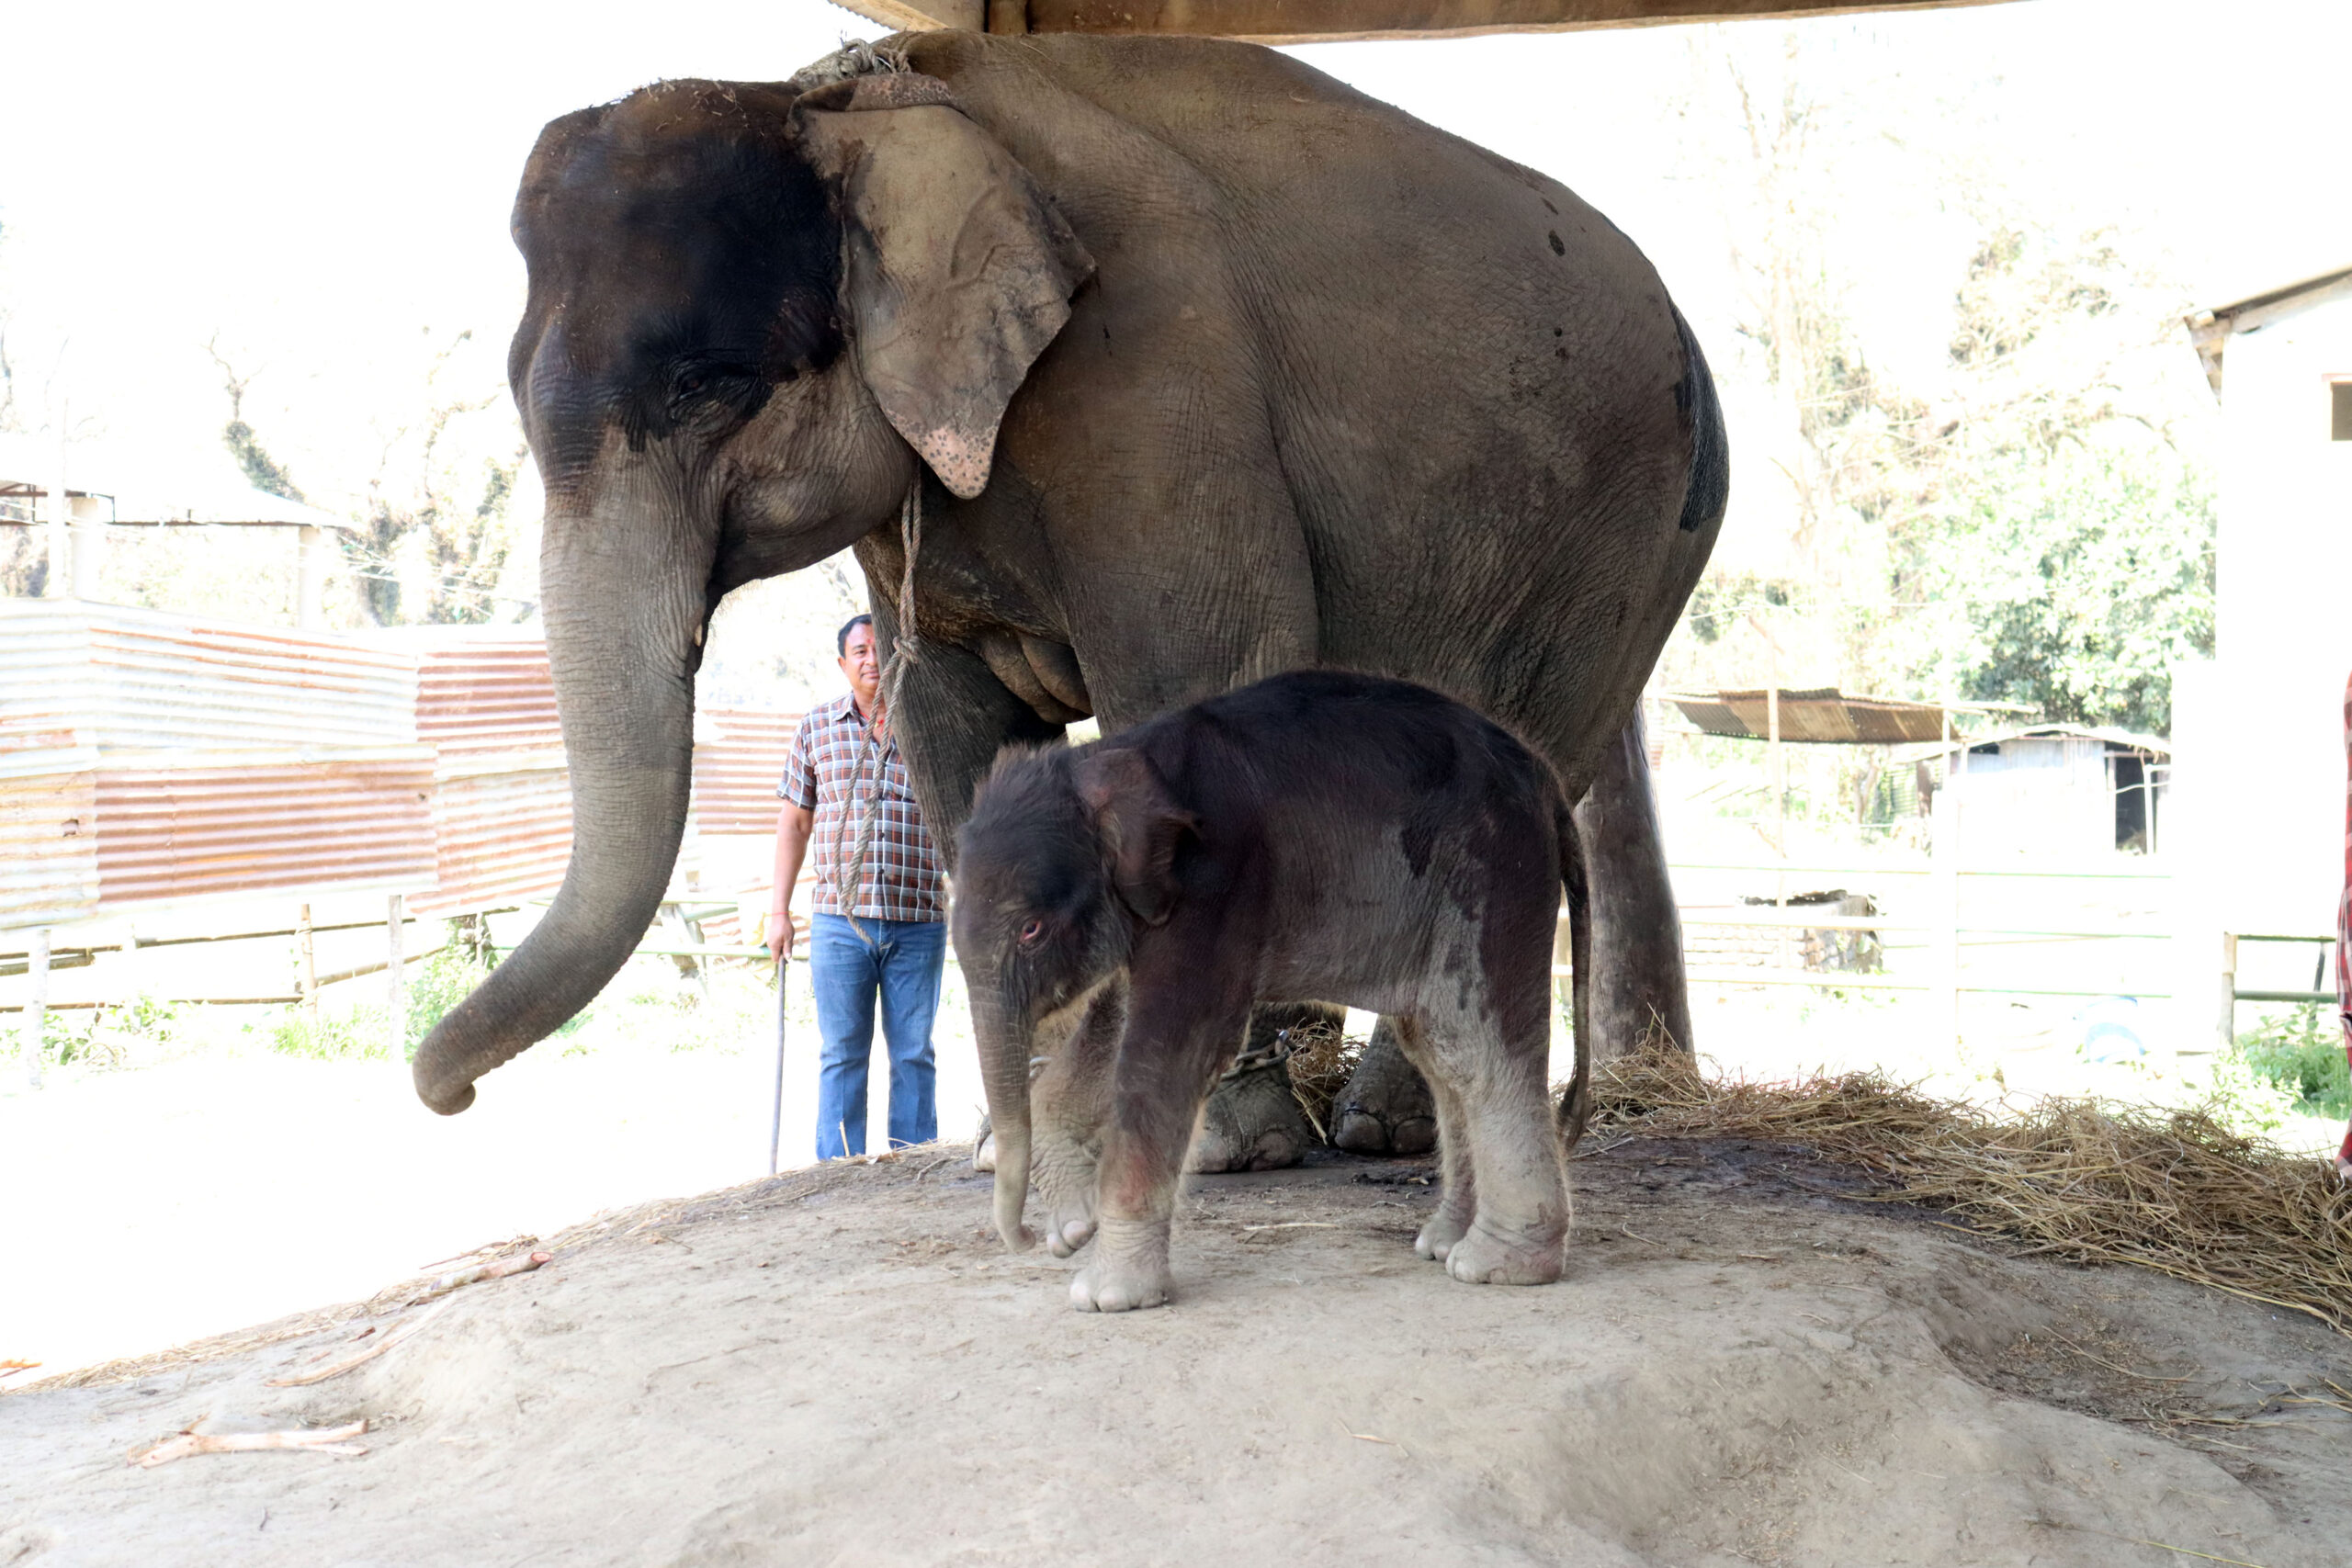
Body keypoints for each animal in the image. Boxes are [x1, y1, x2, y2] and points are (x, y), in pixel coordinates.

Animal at [413, 36, 1721, 1152]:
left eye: (704, 384)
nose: (450, 1096)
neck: (842, 102)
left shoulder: (1153, 380)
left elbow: (1207, 676)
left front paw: (1216, 1142)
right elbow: (953, 740)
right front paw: (1028, 1140)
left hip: (1630, 533)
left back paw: (1388, 1128)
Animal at [955, 671, 1580, 1316]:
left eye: (1031, 929)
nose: (1027, 1241)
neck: (1109, 757)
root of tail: (1547, 783)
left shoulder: (1216, 883)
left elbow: (1166, 1053)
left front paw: (1105, 1296)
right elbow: (1117, 1023)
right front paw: (1073, 1226)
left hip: (1493, 874)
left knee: (1475, 1049)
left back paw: (1495, 1266)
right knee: (1438, 1050)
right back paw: (1443, 1243)